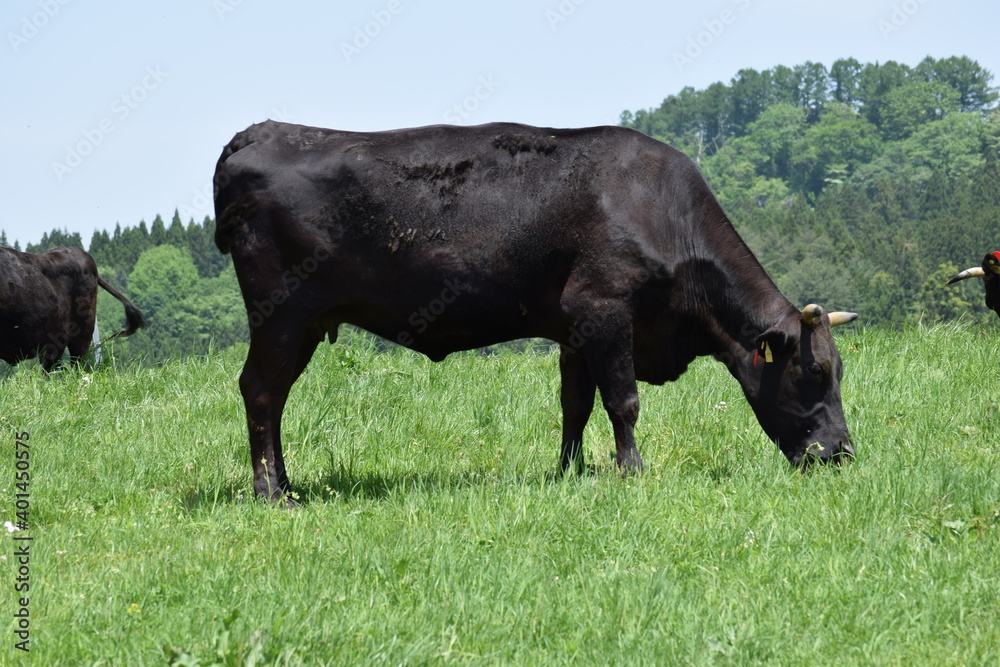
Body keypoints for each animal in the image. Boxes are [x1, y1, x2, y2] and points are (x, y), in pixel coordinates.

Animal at [213, 122, 860, 504]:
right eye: (813, 372)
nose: (841, 454)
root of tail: (262, 131)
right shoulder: (604, 309)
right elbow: (623, 401)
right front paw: (631, 472)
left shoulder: (575, 328)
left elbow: (576, 404)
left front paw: (568, 472)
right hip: (280, 315)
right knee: (261, 391)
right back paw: (271, 493)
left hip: (303, 324)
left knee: (274, 397)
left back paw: (287, 482)